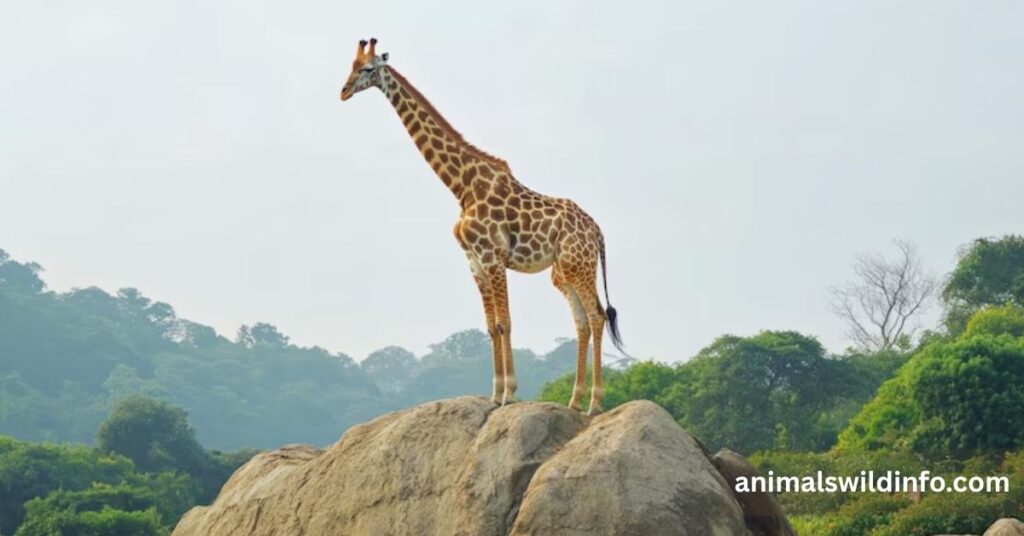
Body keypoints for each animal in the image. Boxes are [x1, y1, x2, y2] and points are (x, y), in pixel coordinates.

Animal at [340, 38, 625, 415]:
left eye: (368, 68)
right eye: (350, 66)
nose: (343, 91)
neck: (461, 186)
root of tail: (597, 231)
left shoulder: (492, 256)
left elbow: (505, 323)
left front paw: (509, 394)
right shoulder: (473, 262)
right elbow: (491, 327)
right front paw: (494, 394)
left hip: (579, 265)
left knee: (596, 316)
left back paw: (594, 403)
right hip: (562, 272)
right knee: (581, 321)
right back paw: (575, 401)